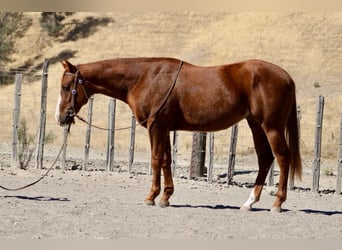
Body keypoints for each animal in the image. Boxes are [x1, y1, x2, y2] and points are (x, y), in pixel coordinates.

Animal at [55, 57, 302, 212]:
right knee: (265, 159)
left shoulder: (156, 126)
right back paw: (250, 202)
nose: (61, 117)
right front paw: (165, 197)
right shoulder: (164, 128)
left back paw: (277, 203)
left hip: (271, 127)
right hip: (255, 126)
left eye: (66, 87)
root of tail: (286, 76)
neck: (145, 78)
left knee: (282, 158)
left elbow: (156, 160)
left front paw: (151, 197)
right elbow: (166, 160)